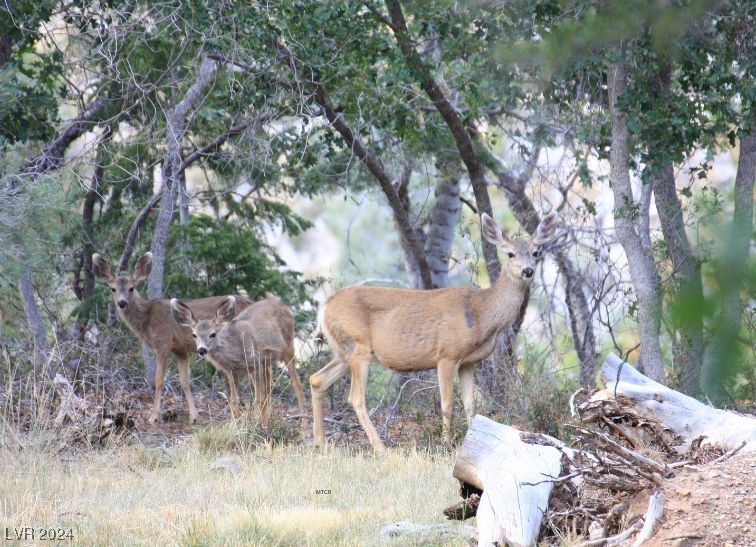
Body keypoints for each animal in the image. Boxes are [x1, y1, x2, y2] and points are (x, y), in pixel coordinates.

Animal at [91, 253, 254, 424]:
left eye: (131, 288)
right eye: (113, 289)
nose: (122, 303)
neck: (147, 319)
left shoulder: (162, 343)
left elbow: (158, 380)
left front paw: (153, 417)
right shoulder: (180, 349)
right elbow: (184, 381)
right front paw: (194, 416)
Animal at [171, 296, 308, 428]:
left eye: (213, 334)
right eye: (194, 335)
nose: (202, 350)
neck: (234, 352)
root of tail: (285, 306)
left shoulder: (255, 362)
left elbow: (259, 398)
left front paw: (261, 426)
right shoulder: (232, 372)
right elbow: (234, 400)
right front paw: (234, 425)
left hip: (288, 346)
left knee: (296, 384)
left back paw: (303, 427)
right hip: (266, 362)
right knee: (270, 386)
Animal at [310, 212, 560, 452]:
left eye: (536, 252)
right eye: (510, 254)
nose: (528, 271)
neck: (481, 314)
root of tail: (324, 308)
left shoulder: (469, 362)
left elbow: (470, 403)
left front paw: (473, 440)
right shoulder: (447, 354)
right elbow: (447, 403)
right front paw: (446, 444)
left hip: (344, 351)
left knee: (317, 379)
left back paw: (320, 443)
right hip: (357, 345)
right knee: (355, 398)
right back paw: (380, 448)